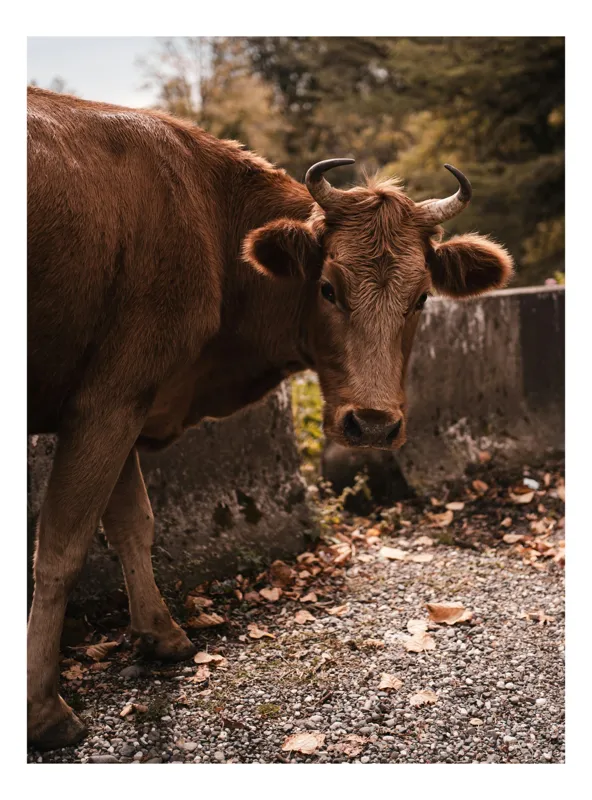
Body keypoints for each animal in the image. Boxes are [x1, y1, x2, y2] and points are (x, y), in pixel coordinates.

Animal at [27, 86, 513, 749]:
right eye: (328, 288)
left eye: (420, 299)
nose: (374, 424)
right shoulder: (108, 400)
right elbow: (61, 547)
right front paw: (41, 709)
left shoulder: (120, 400)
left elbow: (132, 521)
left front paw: (161, 633)